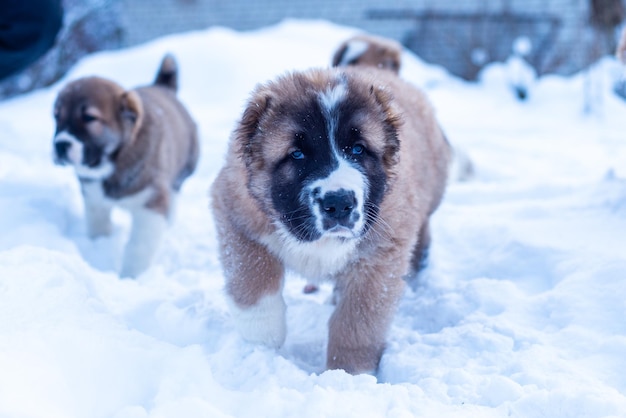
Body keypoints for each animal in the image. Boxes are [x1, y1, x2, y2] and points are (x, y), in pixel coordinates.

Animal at [52, 54, 197, 278]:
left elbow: (139, 247)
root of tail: (162, 86)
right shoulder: (93, 197)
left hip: (182, 172)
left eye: (89, 117)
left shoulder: (151, 202)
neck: (114, 162)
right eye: (57, 117)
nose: (60, 145)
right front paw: (99, 246)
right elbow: (98, 225)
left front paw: (131, 275)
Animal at [210, 67, 448, 374]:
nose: (339, 204)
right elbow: (252, 275)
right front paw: (262, 339)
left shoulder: (380, 255)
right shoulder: (235, 211)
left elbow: (357, 320)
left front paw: (349, 373)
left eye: (358, 149)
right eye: (297, 154)